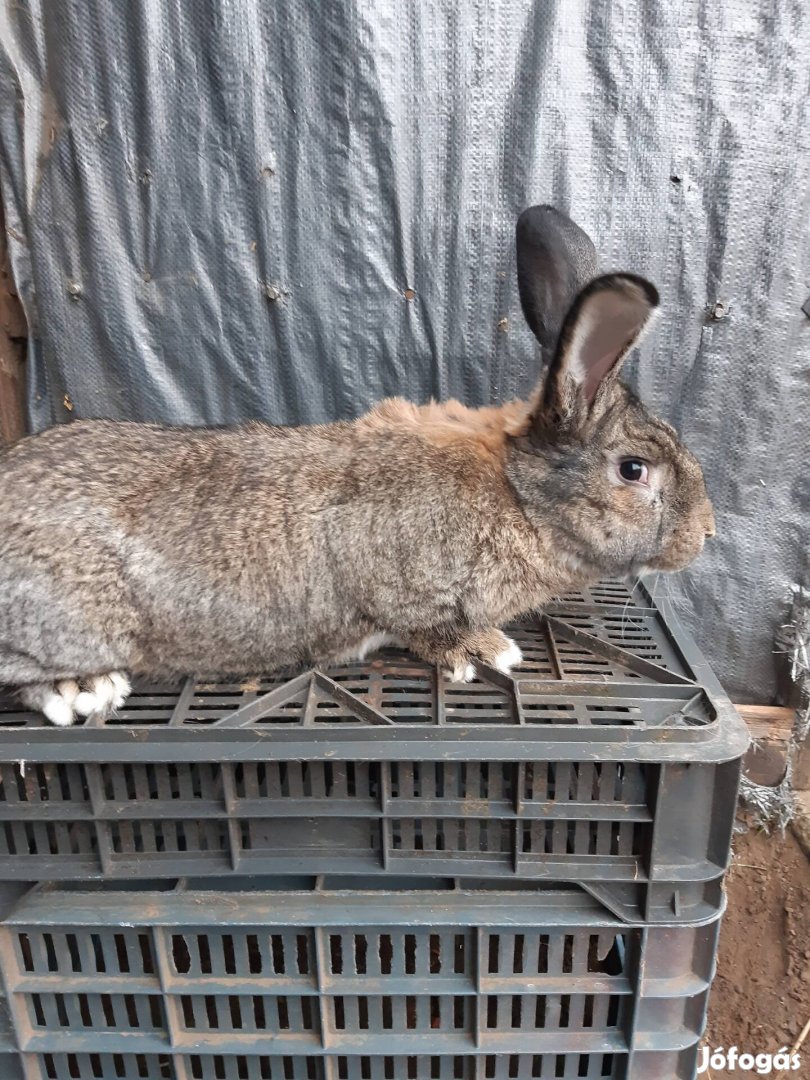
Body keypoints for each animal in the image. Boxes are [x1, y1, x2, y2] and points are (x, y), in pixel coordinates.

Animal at [0, 204, 712, 725]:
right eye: (633, 470)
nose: (706, 534)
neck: (517, 492)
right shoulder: (396, 579)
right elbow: (426, 625)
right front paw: (485, 651)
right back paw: (83, 691)